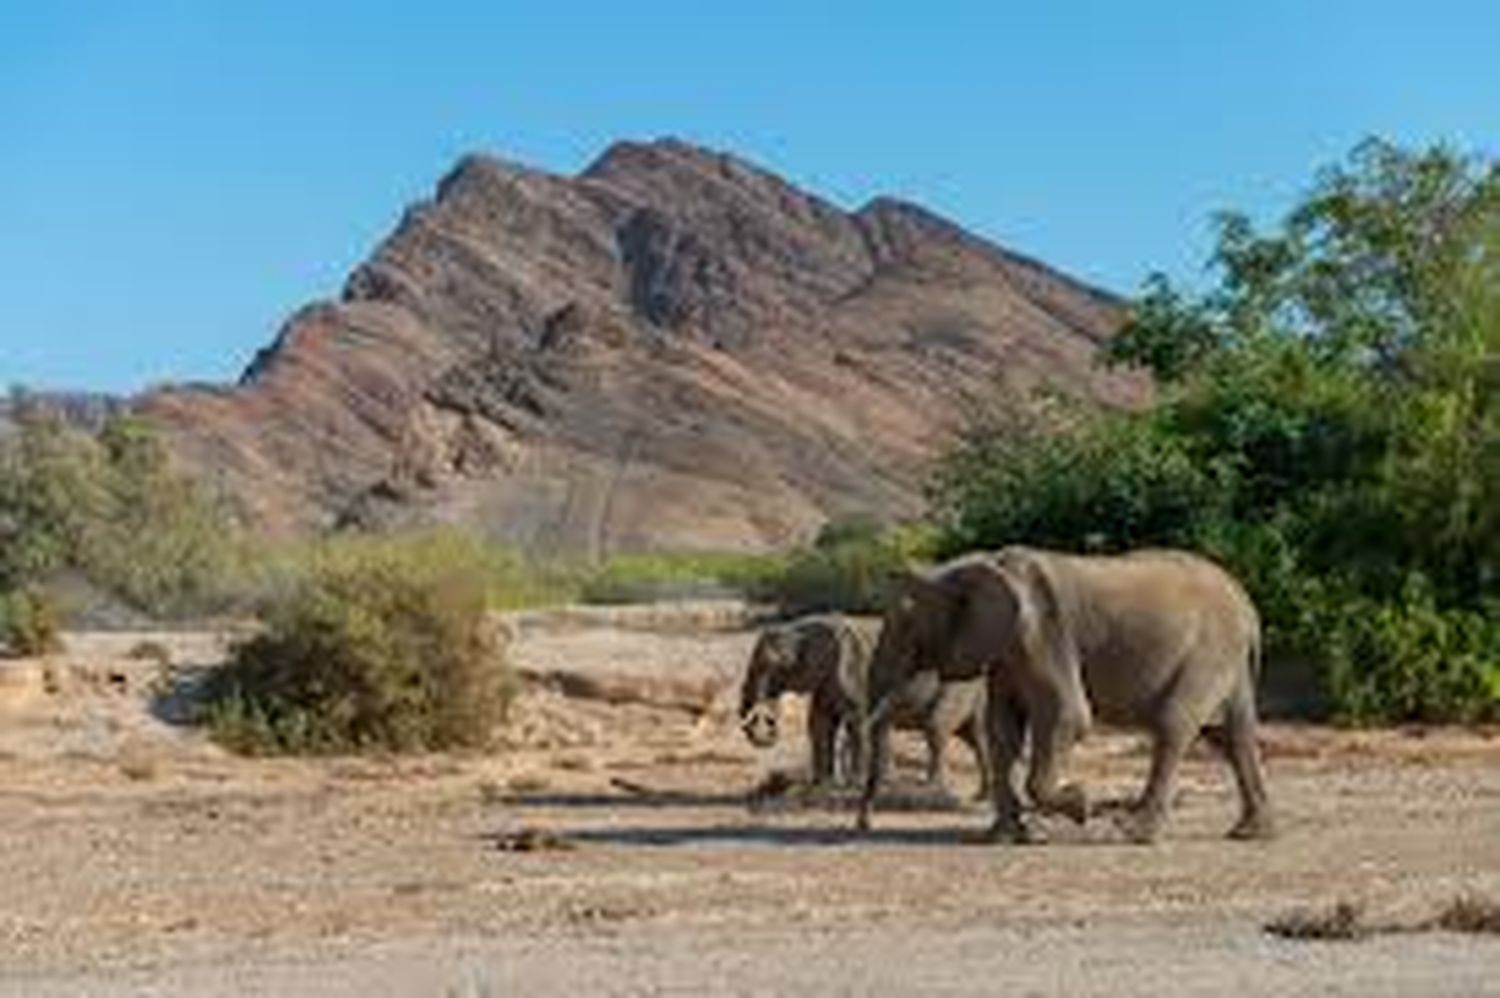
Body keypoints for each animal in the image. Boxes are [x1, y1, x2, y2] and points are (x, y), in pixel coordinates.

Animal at [735, 606, 990, 792]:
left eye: (771, 665)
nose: (768, 721)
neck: (801, 628)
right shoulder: (827, 679)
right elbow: (820, 723)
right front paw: (821, 785)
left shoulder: (856, 670)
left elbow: (857, 721)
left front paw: (854, 785)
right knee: (976, 736)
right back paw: (981, 794)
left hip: (957, 686)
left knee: (936, 727)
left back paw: (930, 787)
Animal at [864, 549, 1272, 846]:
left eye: (906, 623)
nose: (863, 826)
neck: (975, 564)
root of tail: (1247, 605)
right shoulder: (1006, 652)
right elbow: (1002, 731)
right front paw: (1003, 837)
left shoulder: (1043, 632)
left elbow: (1068, 716)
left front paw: (1081, 804)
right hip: (1228, 661)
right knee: (1232, 736)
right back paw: (1249, 833)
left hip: (1209, 652)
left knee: (1174, 725)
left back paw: (1131, 832)